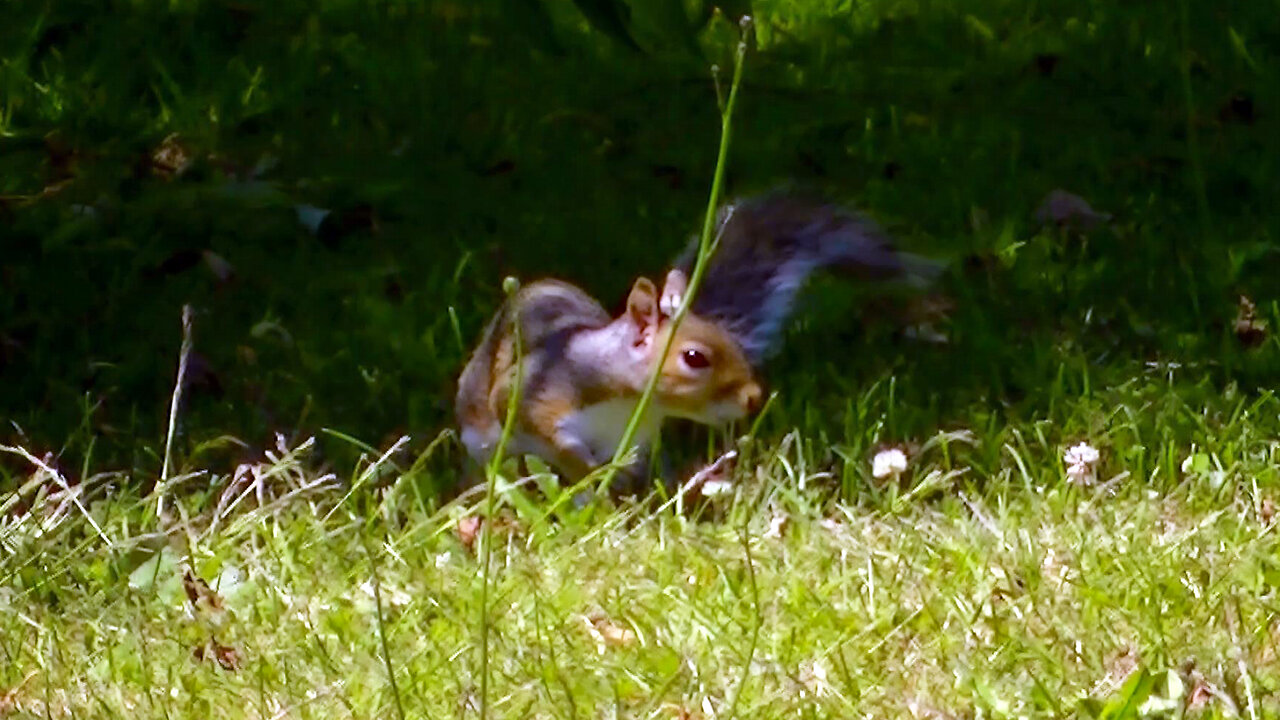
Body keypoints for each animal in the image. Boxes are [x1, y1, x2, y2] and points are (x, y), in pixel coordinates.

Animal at [455, 189, 936, 481]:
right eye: (694, 358)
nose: (753, 398)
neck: (624, 398)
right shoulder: (537, 391)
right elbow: (535, 422)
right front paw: (587, 466)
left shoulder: (637, 438)